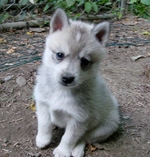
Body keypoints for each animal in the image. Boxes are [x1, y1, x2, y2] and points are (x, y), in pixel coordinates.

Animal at [34, 8, 119, 157]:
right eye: (60, 55)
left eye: (85, 61)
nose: (67, 78)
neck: (61, 91)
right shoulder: (43, 103)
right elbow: (44, 123)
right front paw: (43, 139)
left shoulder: (79, 119)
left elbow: (69, 137)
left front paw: (62, 151)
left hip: (105, 128)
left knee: (85, 137)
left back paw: (77, 150)